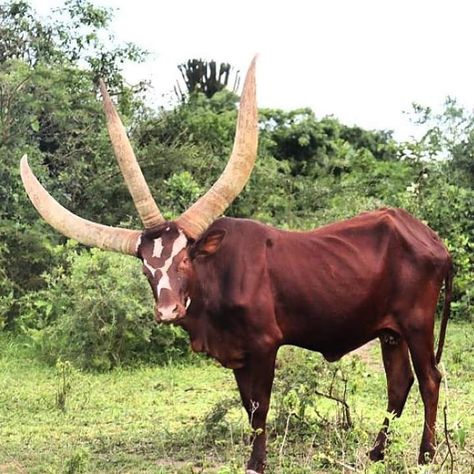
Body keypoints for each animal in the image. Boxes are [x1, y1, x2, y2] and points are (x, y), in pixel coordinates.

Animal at [21, 57, 452, 472]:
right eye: (146, 267)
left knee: (430, 379)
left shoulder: (264, 346)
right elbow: (248, 409)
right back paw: (376, 453)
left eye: (185, 260)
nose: (168, 310)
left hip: (417, 323)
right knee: (399, 384)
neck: (216, 279)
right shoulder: (238, 356)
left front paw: (256, 463)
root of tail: (430, 239)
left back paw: (426, 455)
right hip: (389, 331)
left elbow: (260, 411)